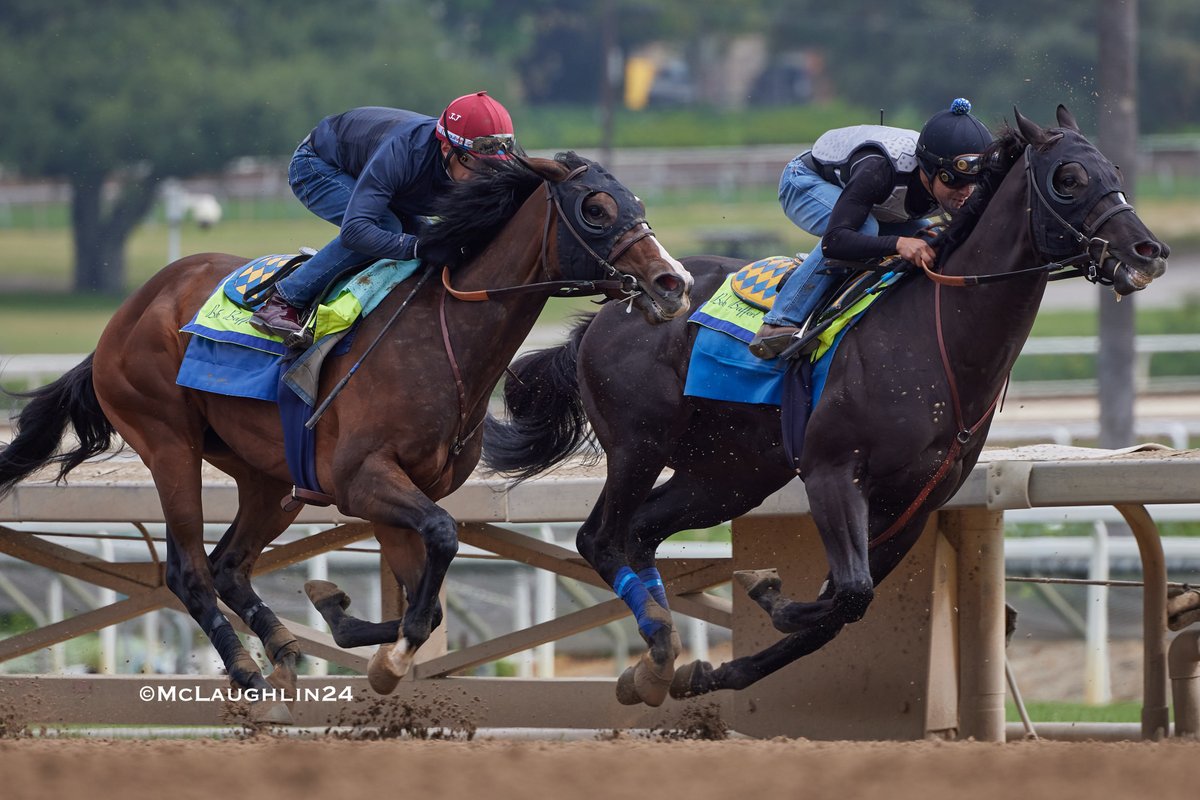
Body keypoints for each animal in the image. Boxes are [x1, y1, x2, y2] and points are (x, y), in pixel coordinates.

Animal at [0, 151, 696, 714]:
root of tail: (125, 316)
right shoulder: (363, 480)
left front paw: (343, 616)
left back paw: (283, 647)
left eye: (637, 203)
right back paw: (250, 675)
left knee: (229, 565)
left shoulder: (403, 491)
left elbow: (428, 597)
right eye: (597, 208)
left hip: (268, 474)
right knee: (190, 571)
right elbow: (441, 549)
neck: (445, 338)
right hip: (168, 442)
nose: (675, 283)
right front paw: (386, 658)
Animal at [480, 107, 1171, 705]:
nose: (1148, 252)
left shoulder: (914, 503)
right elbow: (847, 594)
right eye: (1070, 178)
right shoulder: (832, 472)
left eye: (1114, 168)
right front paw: (769, 592)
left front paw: (720, 668)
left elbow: (841, 609)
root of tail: (620, 305)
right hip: (640, 445)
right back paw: (654, 655)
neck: (935, 339)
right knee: (601, 538)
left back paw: (660, 662)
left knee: (643, 531)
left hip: (731, 475)